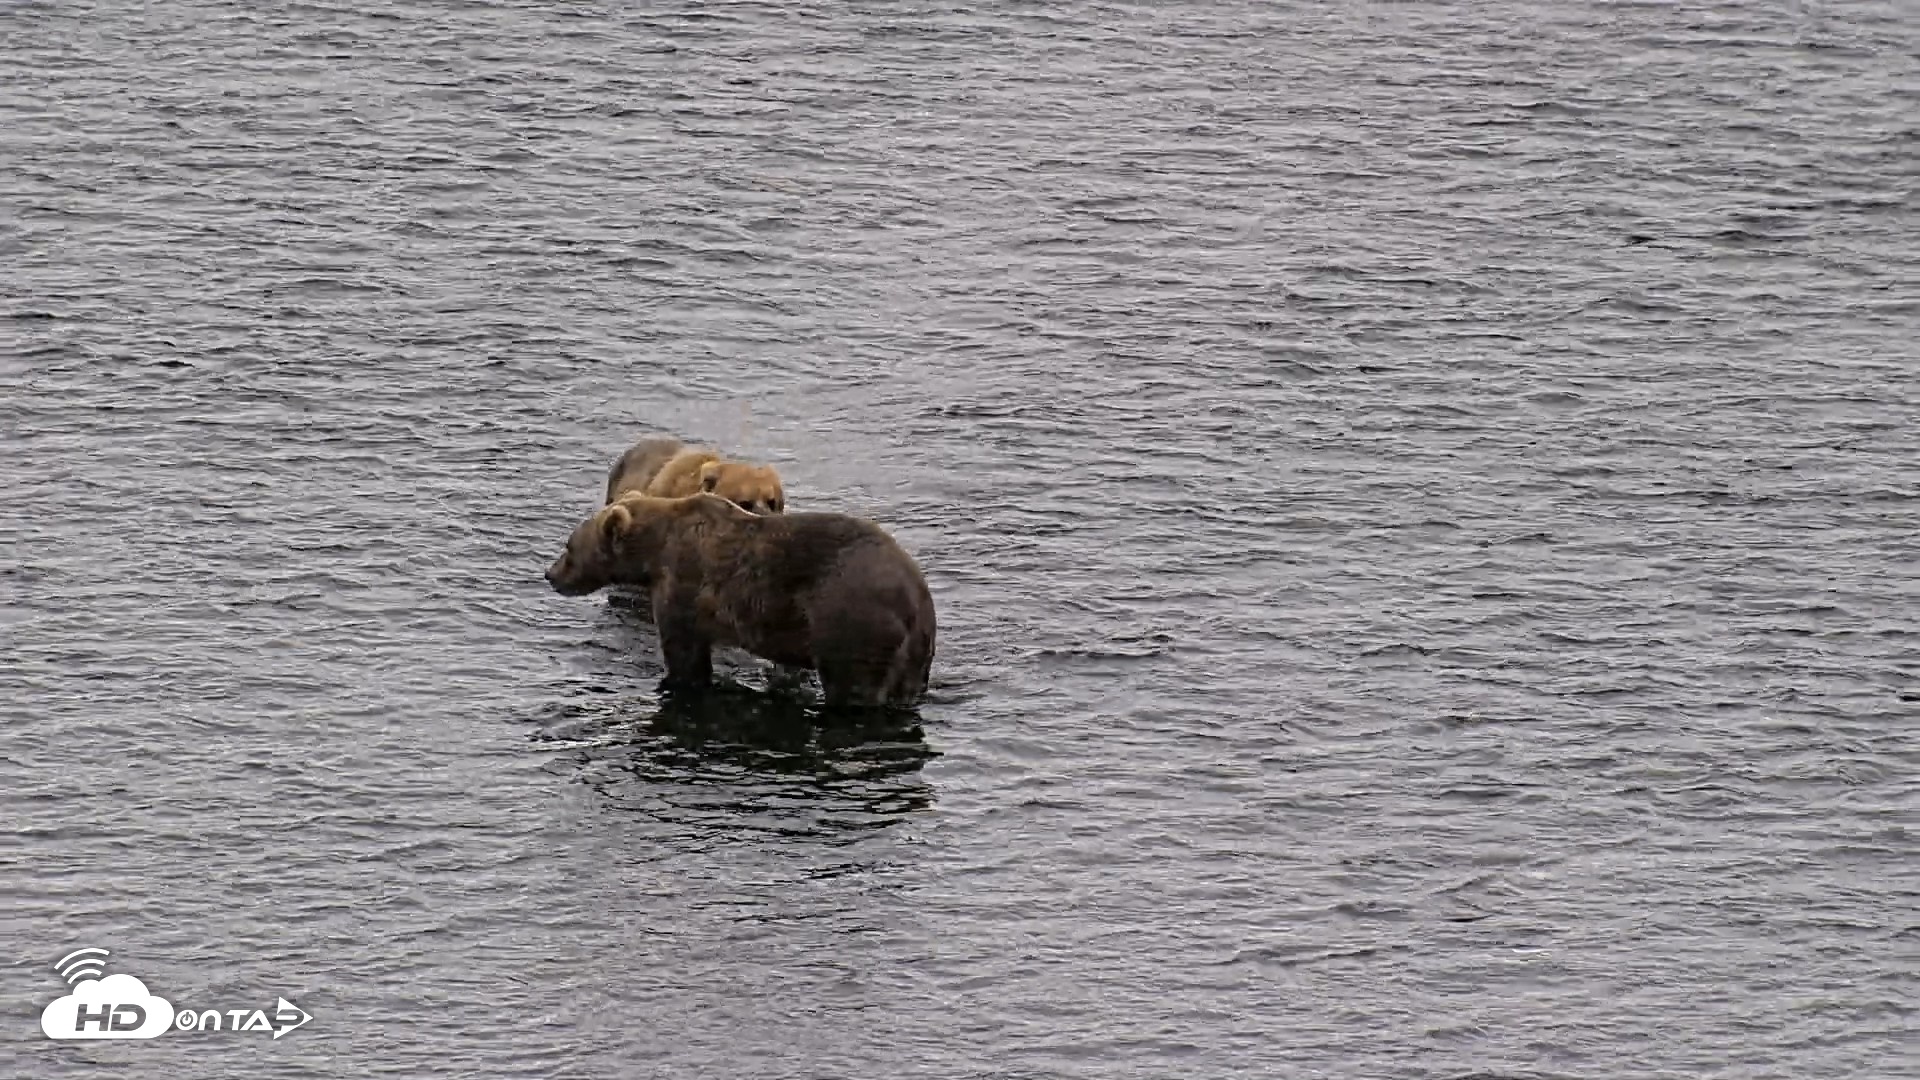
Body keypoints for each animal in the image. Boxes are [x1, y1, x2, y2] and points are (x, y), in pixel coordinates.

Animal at [545, 492, 935, 707]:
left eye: (568, 547)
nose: (550, 574)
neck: (656, 547)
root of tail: (917, 599)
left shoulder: (685, 585)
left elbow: (685, 652)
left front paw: (680, 680)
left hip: (849, 617)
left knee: (852, 683)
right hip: (910, 653)